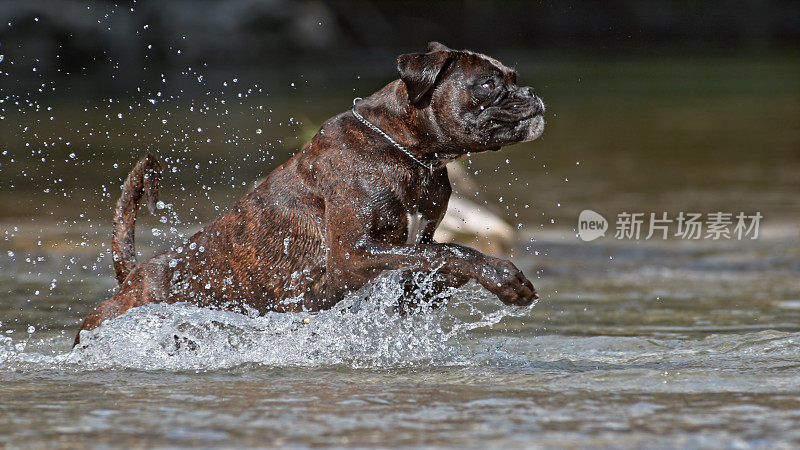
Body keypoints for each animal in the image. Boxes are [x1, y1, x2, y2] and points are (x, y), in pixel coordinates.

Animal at [76, 42, 544, 344]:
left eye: (515, 78)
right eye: (488, 84)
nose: (531, 92)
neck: (405, 150)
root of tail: (133, 275)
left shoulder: (413, 256)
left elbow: (444, 258)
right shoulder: (354, 255)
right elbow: (456, 250)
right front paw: (505, 276)